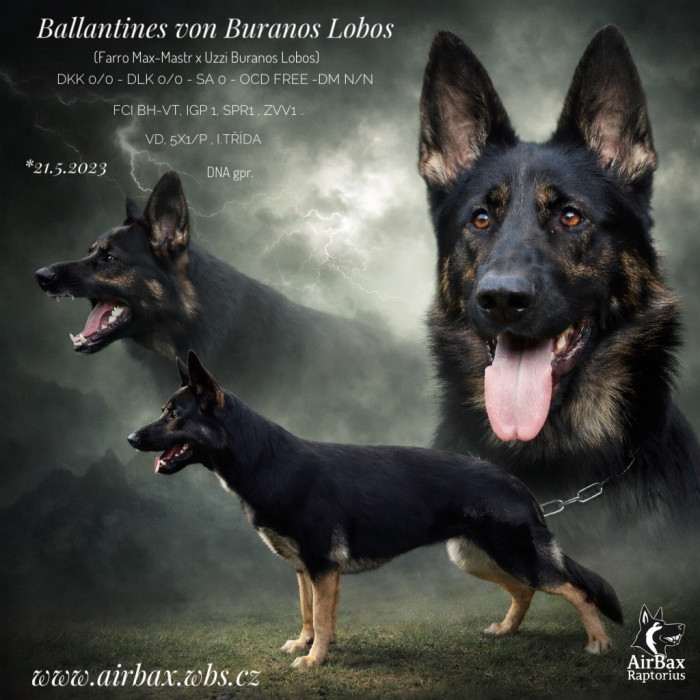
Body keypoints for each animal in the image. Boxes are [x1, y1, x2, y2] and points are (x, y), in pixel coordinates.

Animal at [127, 351, 623, 668]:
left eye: (174, 415)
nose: (132, 438)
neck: (262, 460)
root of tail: (516, 483)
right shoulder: (306, 571)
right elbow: (309, 614)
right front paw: (305, 646)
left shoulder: (322, 568)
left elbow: (322, 618)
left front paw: (313, 661)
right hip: (473, 557)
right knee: (524, 591)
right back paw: (506, 630)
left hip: (512, 554)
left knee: (572, 590)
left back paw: (599, 642)